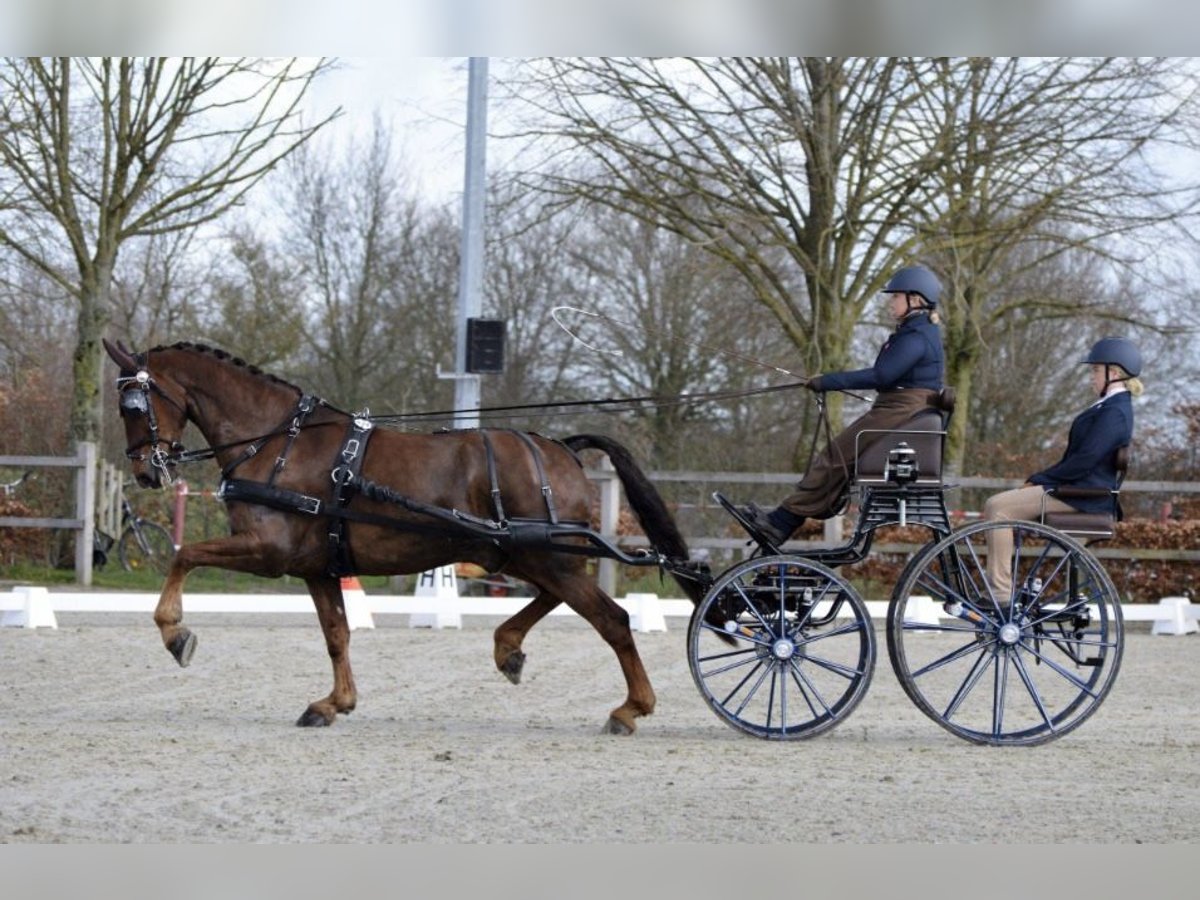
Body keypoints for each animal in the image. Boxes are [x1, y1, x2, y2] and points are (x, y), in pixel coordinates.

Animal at [105, 340, 700, 734]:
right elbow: (337, 635)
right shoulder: (317, 568)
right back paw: (509, 649)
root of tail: (560, 447)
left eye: (133, 405)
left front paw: (176, 634)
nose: (145, 472)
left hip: (544, 556)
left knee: (612, 619)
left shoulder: (269, 552)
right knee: (561, 601)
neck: (278, 443)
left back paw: (631, 708)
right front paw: (334, 703)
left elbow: (184, 554)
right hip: (521, 553)